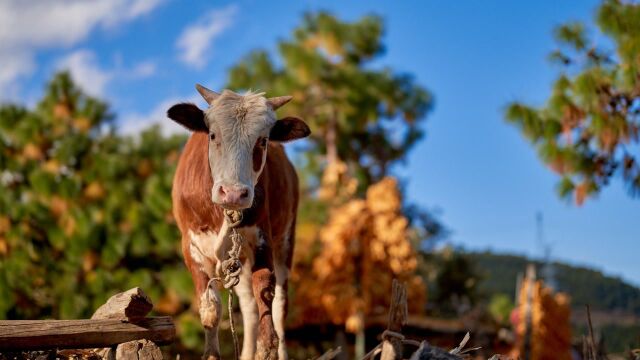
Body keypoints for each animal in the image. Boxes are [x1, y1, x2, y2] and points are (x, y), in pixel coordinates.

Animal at [168, 85, 310, 360]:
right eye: (212, 135)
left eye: (263, 140)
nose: (233, 194)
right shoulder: (191, 246)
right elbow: (211, 309)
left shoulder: (262, 240)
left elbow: (265, 294)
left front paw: (266, 348)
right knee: (249, 308)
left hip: (285, 241)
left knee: (279, 306)